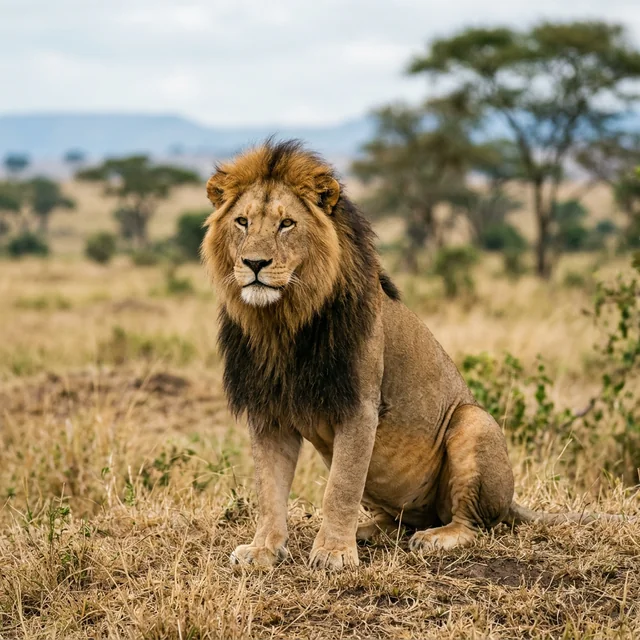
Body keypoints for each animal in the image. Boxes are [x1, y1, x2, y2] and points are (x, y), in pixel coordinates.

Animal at [201, 139, 624, 571]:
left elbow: (340, 488)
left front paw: (334, 553)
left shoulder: (360, 406)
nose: (254, 263)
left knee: (472, 523)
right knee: (398, 518)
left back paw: (436, 537)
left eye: (286, 224)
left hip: (473, 422)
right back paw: (369, 530)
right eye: (242, 222)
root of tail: (511, 501)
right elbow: (269, 489)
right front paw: (264, 549)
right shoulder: (268, 411)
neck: (282, 321)